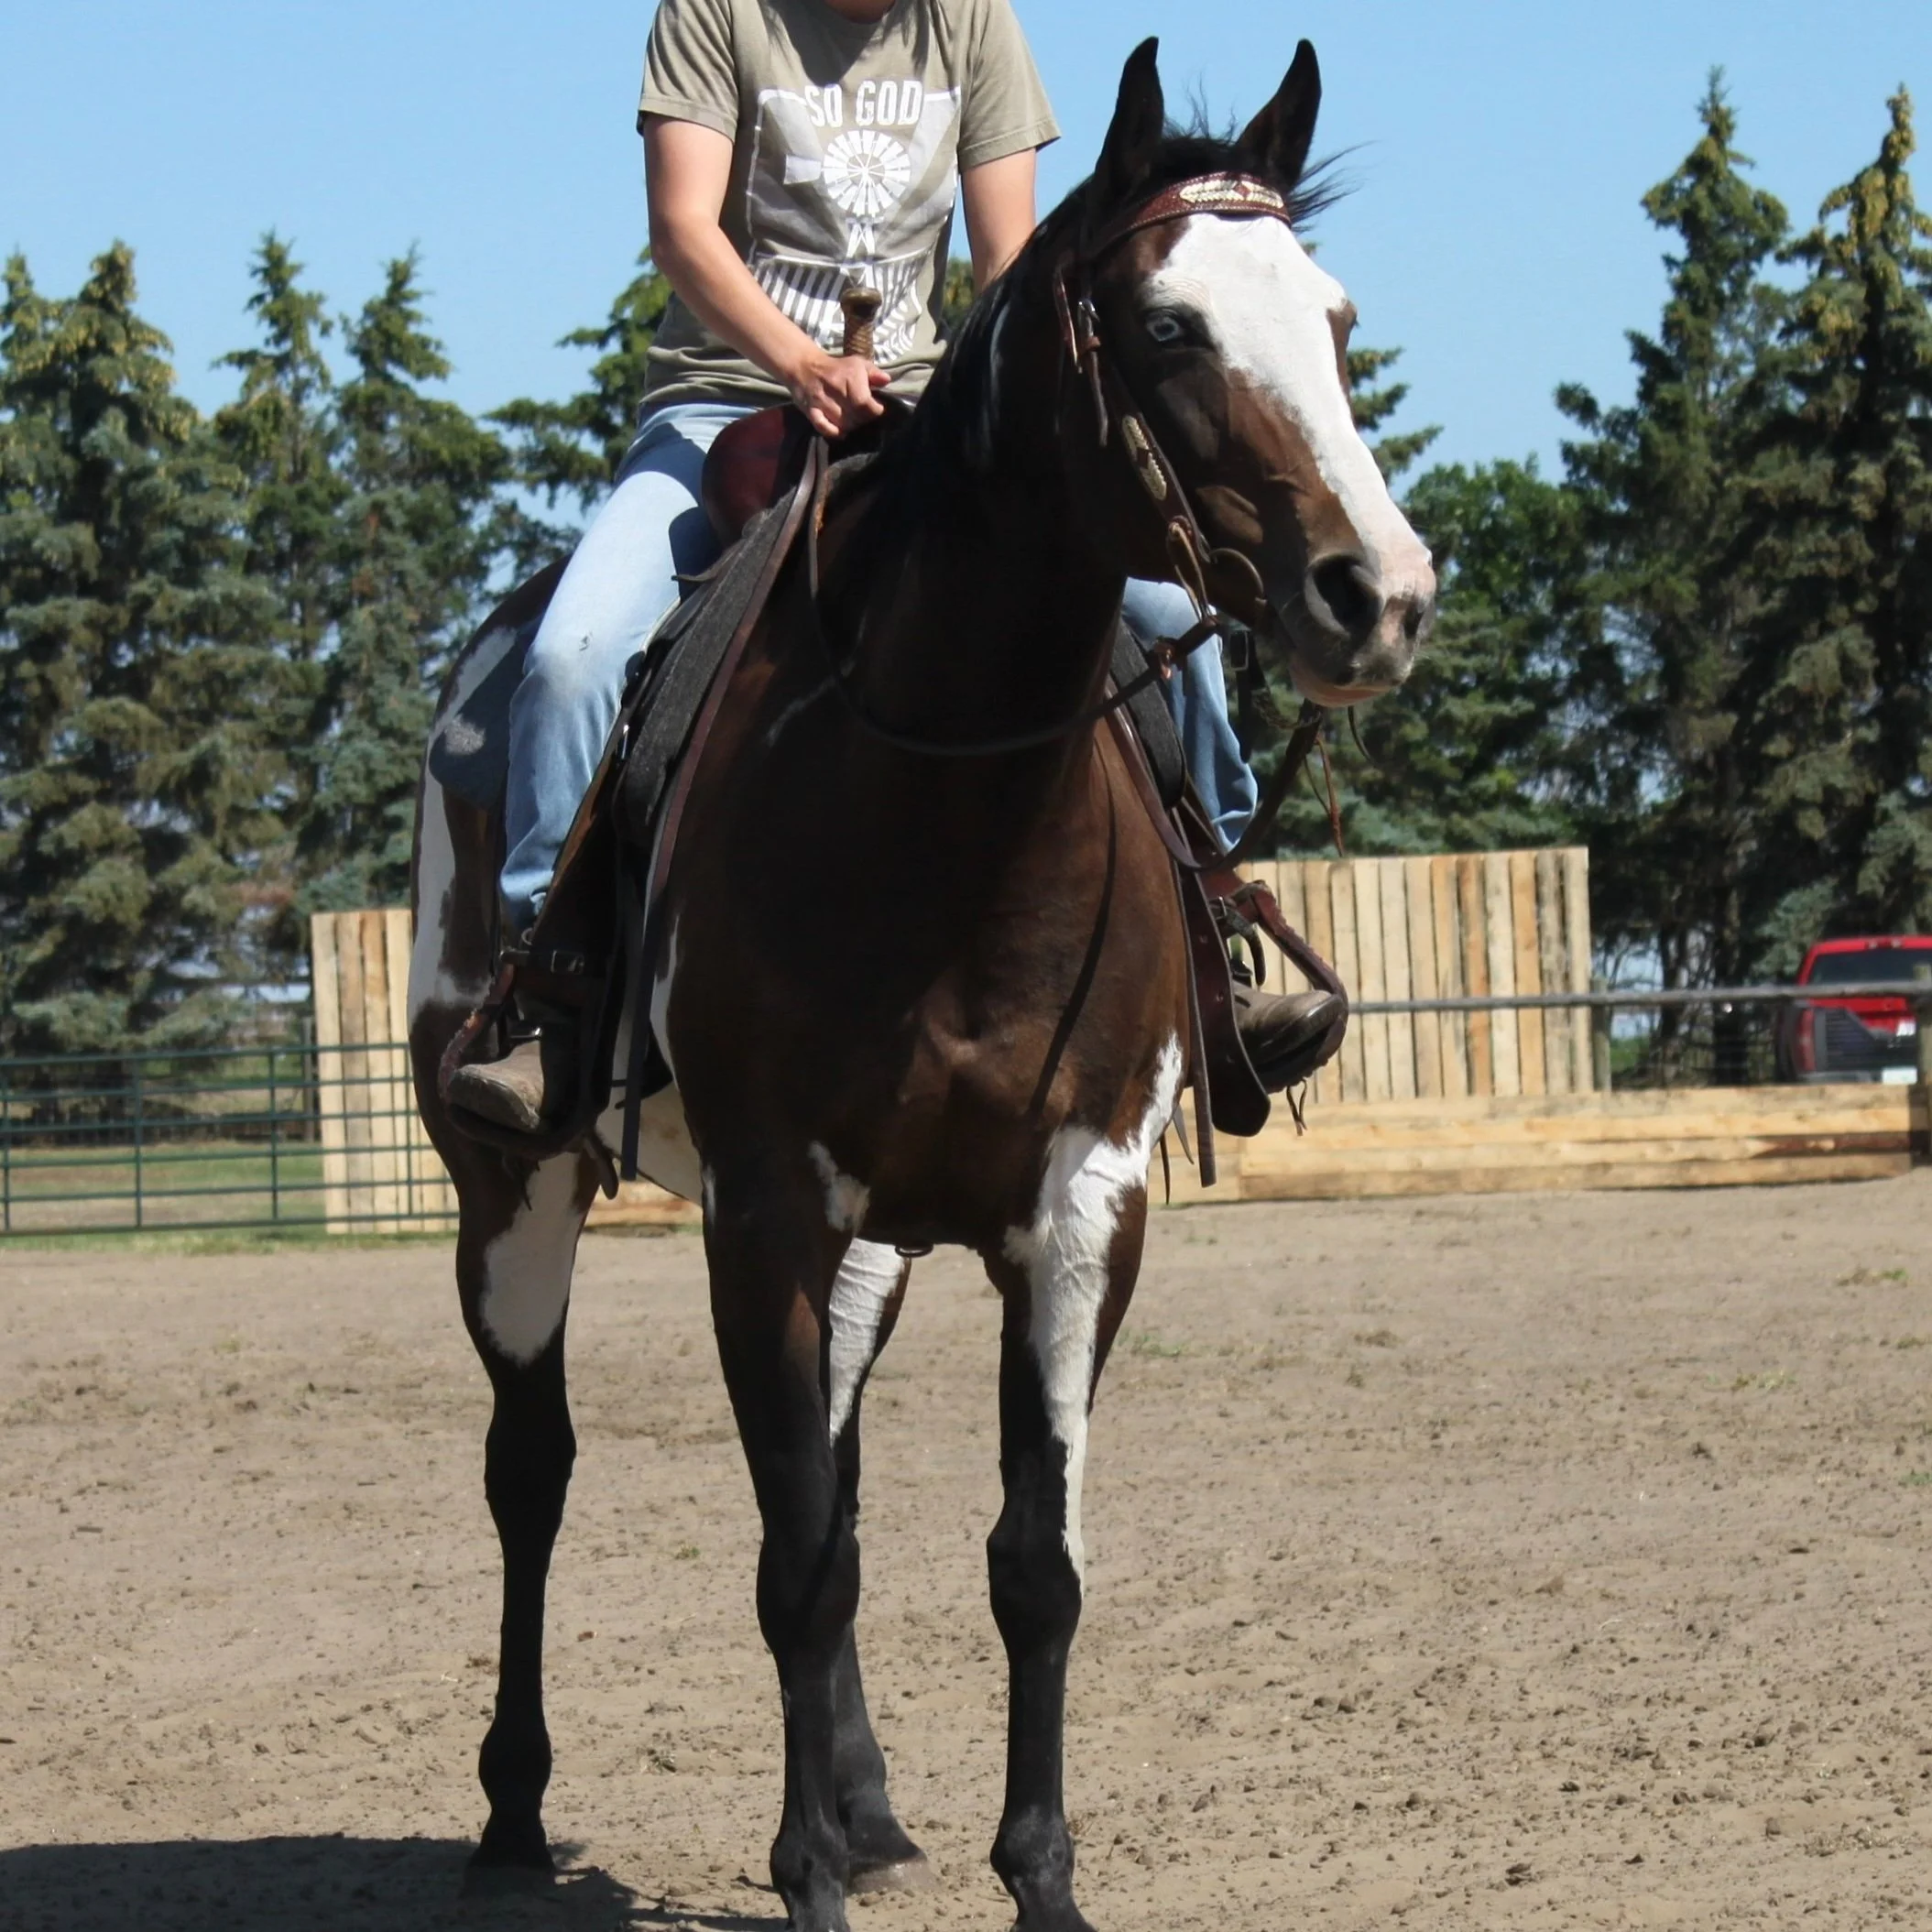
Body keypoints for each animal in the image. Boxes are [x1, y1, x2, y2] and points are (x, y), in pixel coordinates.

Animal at [409, 36, 1434, 1932]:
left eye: (1329, 318)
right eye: (1165, 326)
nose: (1376, 590)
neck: (945, 795)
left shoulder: (1081, 1202)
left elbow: (1028, 1560)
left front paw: (1028, 1872)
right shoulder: (766, 1205)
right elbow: (791, 1562)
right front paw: (802, 1869)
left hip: (874, 1240)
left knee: (839, 1475)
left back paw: (869, 1803)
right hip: (506, 1182)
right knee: (535, 1467)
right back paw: (515, 1810)